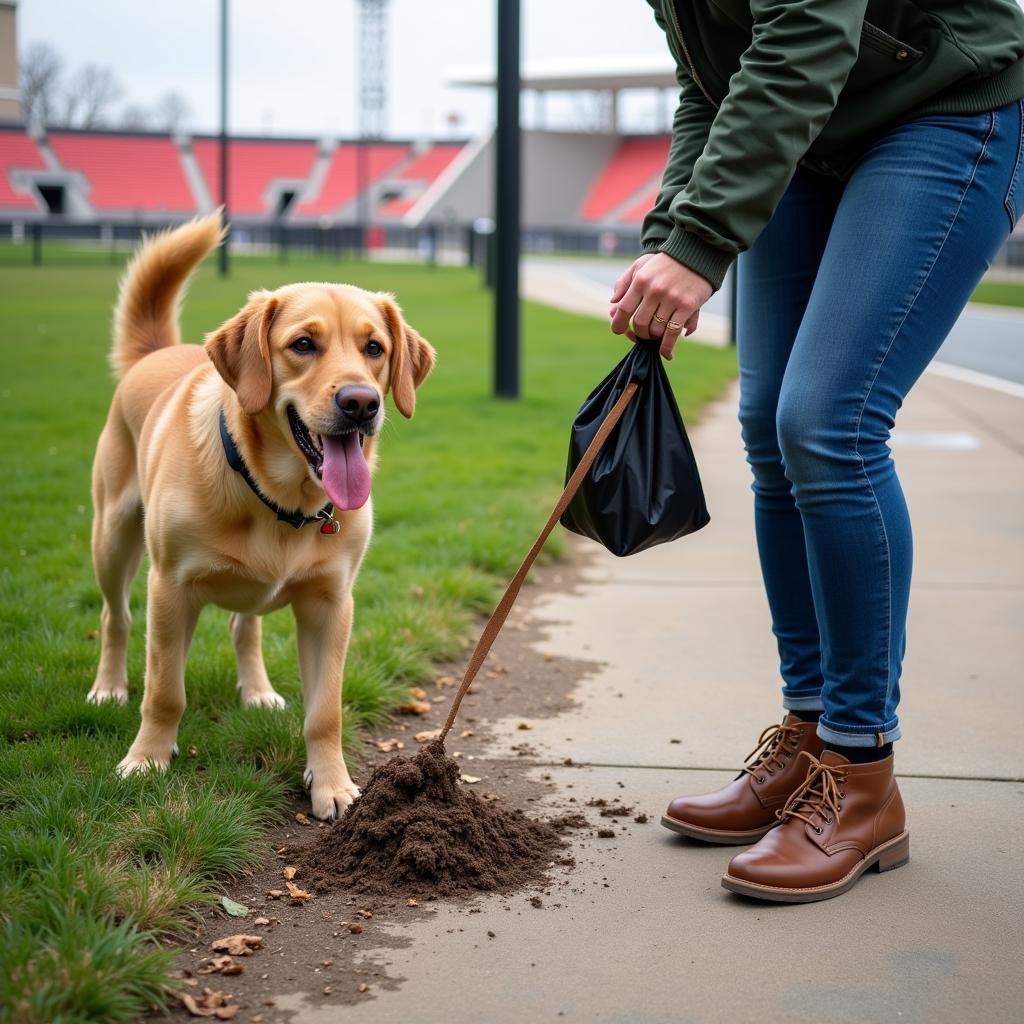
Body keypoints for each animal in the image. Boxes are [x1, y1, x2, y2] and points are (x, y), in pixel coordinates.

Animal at [88, 211, 436, 819]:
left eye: (374, 347)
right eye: (303, 344)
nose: (362, 403)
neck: (281, 499)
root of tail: (157, 352)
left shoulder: (330, 604)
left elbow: (325, 711)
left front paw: (332, 784)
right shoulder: (169, 587)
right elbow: (164, 691)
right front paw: (147, 758)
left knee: (242, 625)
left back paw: (256, 691)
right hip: (111, 539)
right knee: (116, 617)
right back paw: (109, 687)